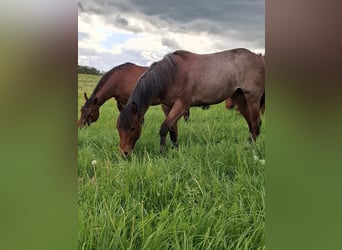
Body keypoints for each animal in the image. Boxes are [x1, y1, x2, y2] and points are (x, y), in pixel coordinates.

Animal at [117, 48, 264, 154]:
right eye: (118, 128)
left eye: (133, 128)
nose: (124, 153)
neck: (171, 73)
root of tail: (259, 58)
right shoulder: (167, 106)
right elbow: (173, 130)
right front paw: (175, 149)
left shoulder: (182, 106)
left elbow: (164, 128)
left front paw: (162, 152)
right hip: (240, 99)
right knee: (251, 124)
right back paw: (247, 144)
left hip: (252, 99)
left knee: (256, 123)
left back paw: (250, 148)